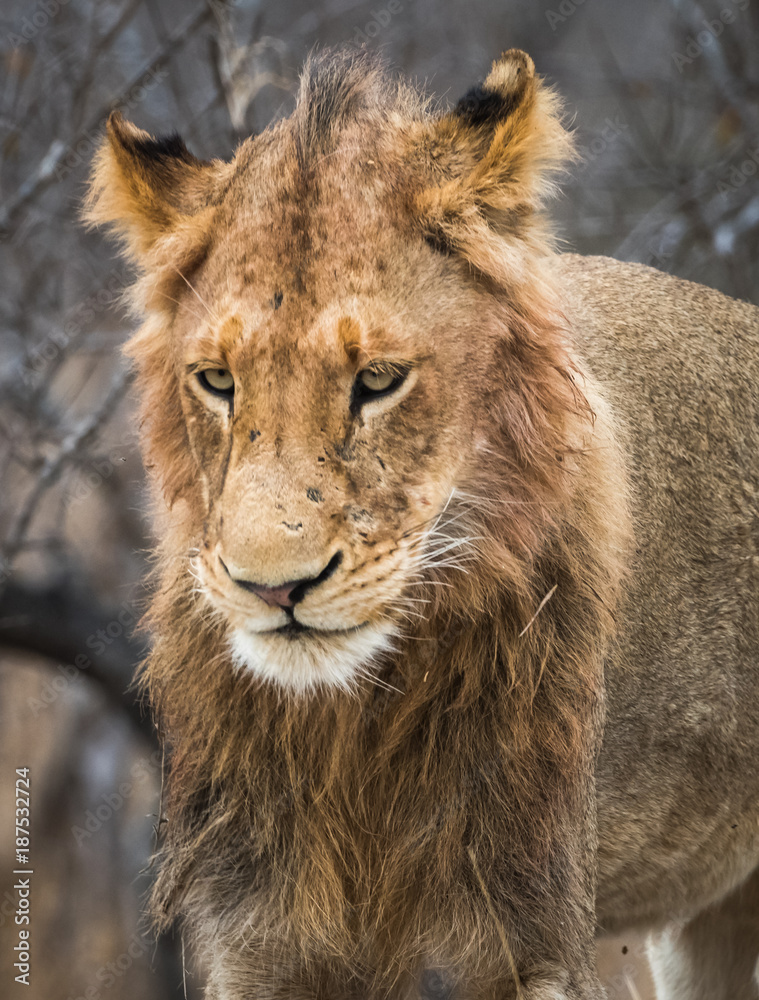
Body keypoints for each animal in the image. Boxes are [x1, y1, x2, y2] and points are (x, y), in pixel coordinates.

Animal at [86, 47, 759, 1000]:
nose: (273, 588)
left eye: (377, 381)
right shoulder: (256, 933)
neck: (354, 723)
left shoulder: (534, 931)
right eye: (217, 381)